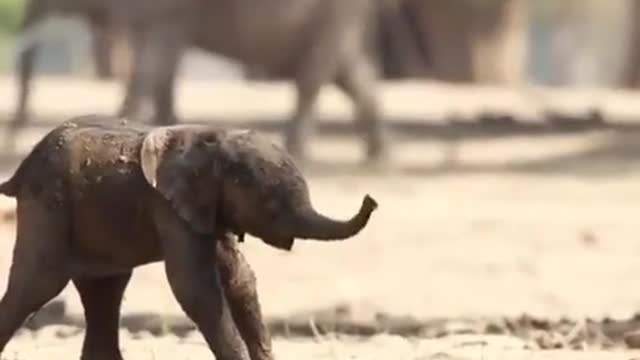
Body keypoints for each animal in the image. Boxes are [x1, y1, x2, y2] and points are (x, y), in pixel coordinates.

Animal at [0, 114, 378, 360]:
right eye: (271, 206)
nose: (371, 199)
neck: (216, 140)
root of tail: (18, 172)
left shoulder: (208, 206)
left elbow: (239, 279)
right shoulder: (168, 206)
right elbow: (195, 287)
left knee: (105, 292)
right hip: (47, 205)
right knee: (38, 285)